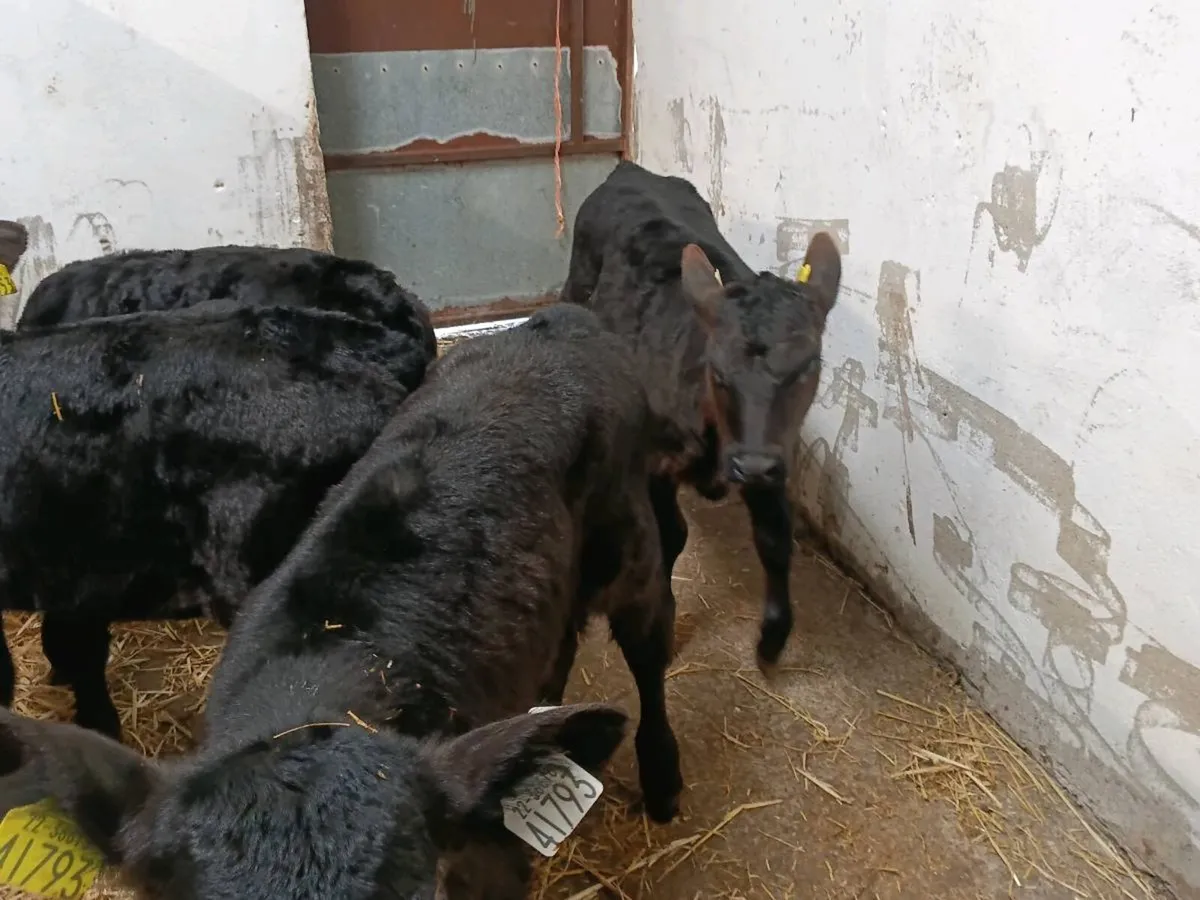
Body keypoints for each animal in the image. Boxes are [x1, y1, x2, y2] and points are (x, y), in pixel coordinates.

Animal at [561, 160, 842, 670]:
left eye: (809, 365)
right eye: (718, 369)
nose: (750, 466)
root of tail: (629, 168)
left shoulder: (771, 453)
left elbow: (775, 537)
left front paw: (773, 635)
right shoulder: (654, 461)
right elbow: (672, 535)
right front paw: (667, 619)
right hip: (579, 277)